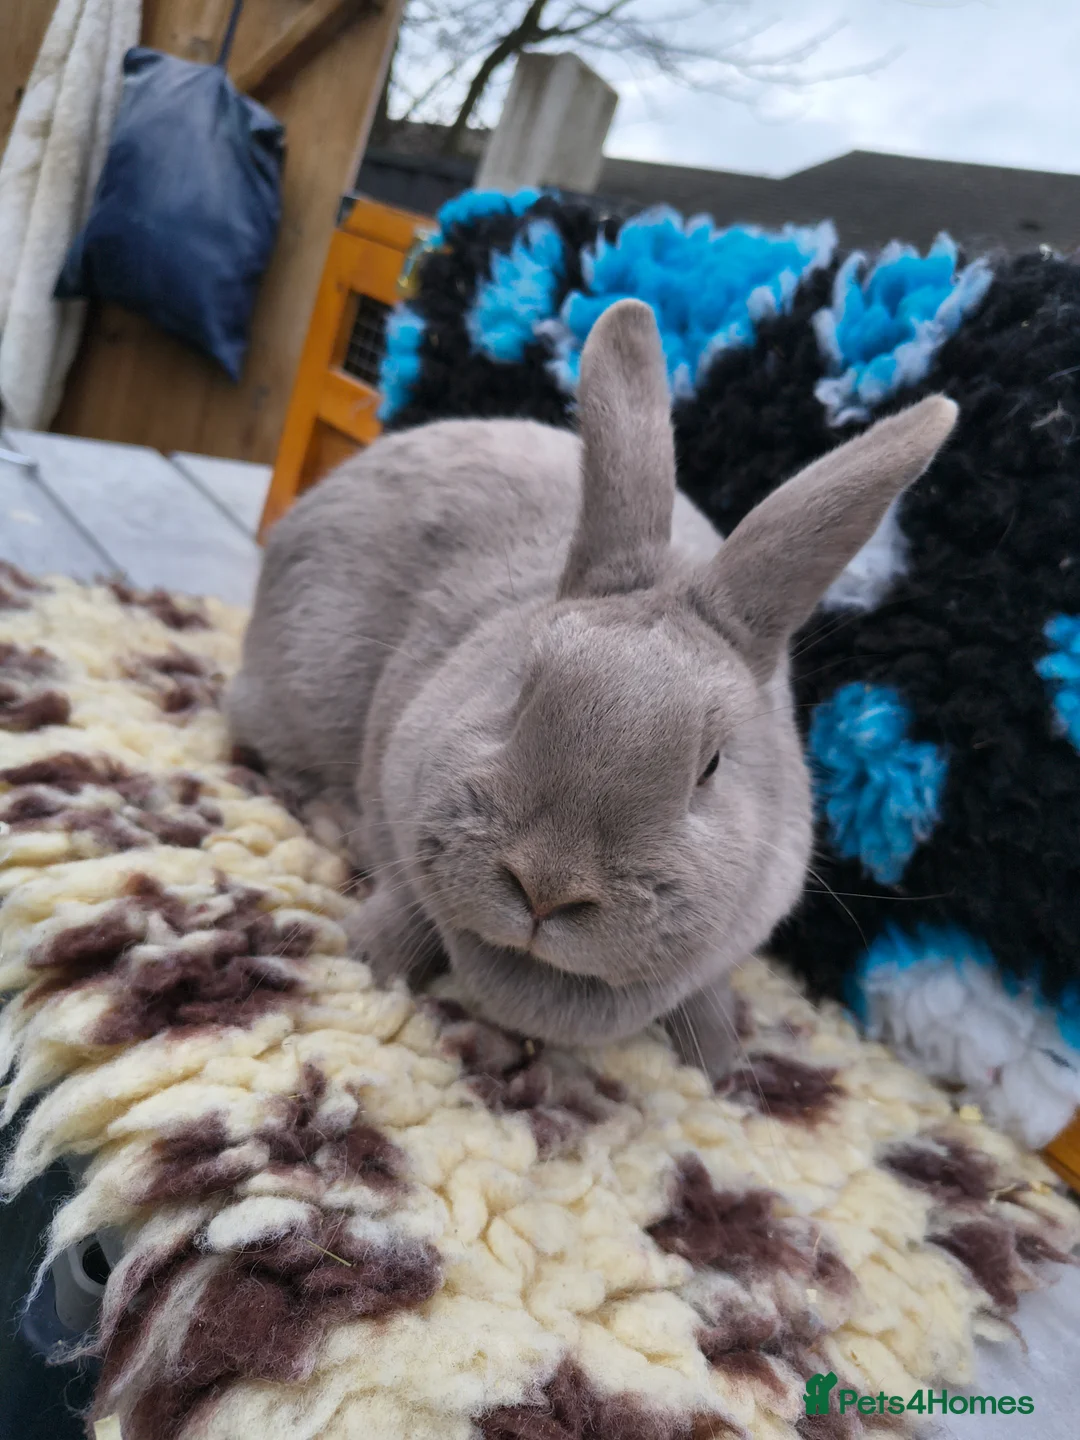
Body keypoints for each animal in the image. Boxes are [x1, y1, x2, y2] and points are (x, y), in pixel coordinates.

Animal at [229, 299, 957, 1078]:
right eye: (519, 690)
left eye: (712, 766)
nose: (546, 888)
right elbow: (405, 904)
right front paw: (366, 961)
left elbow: (706, 991)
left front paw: (719, 1063)